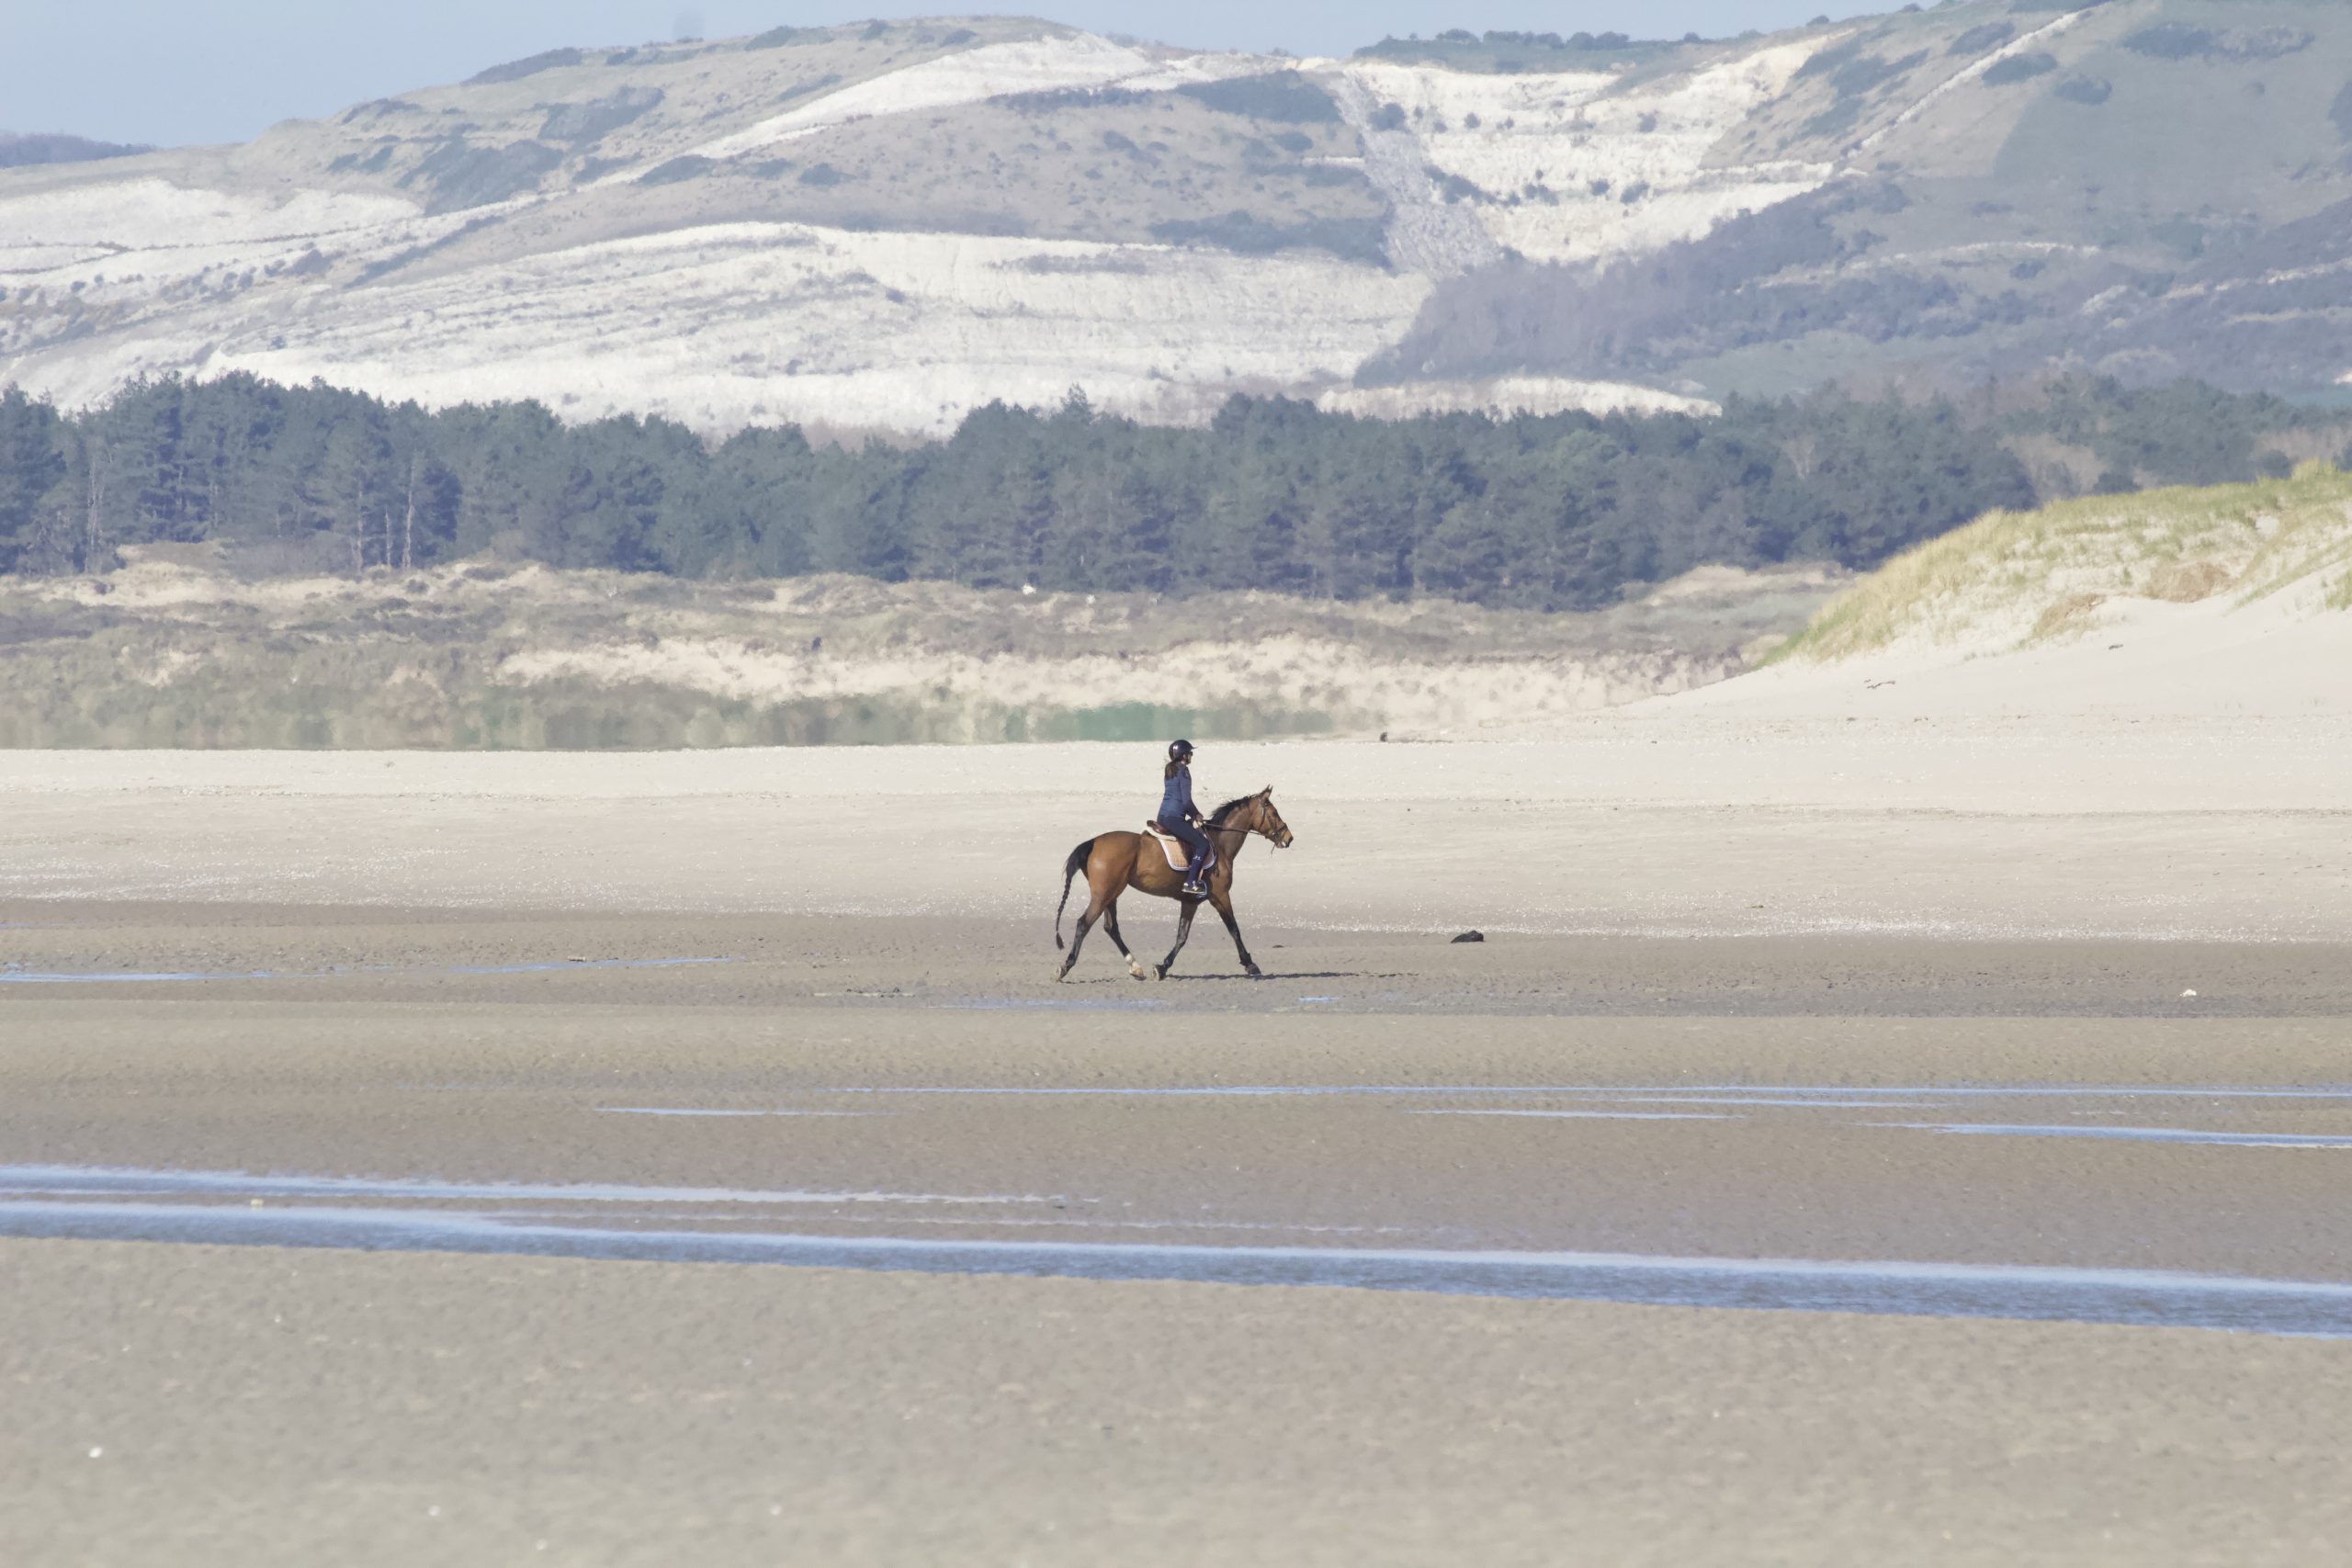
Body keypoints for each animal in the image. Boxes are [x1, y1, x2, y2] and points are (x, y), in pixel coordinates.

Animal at [1053, 788, 1294, 981]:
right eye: (1274, 813)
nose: (1289, 837)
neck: (1219, 844)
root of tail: (1094, 842)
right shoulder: (1220, 896)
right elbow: (1234, 929)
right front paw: (1250, 964)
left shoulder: (1190, 902)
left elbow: (1181, 936)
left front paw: (1162, 967)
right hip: (1104, 894)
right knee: (1084, 924)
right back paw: (1065, 966)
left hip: (1111, 894)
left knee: (1111, 928)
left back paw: (1135, 967)